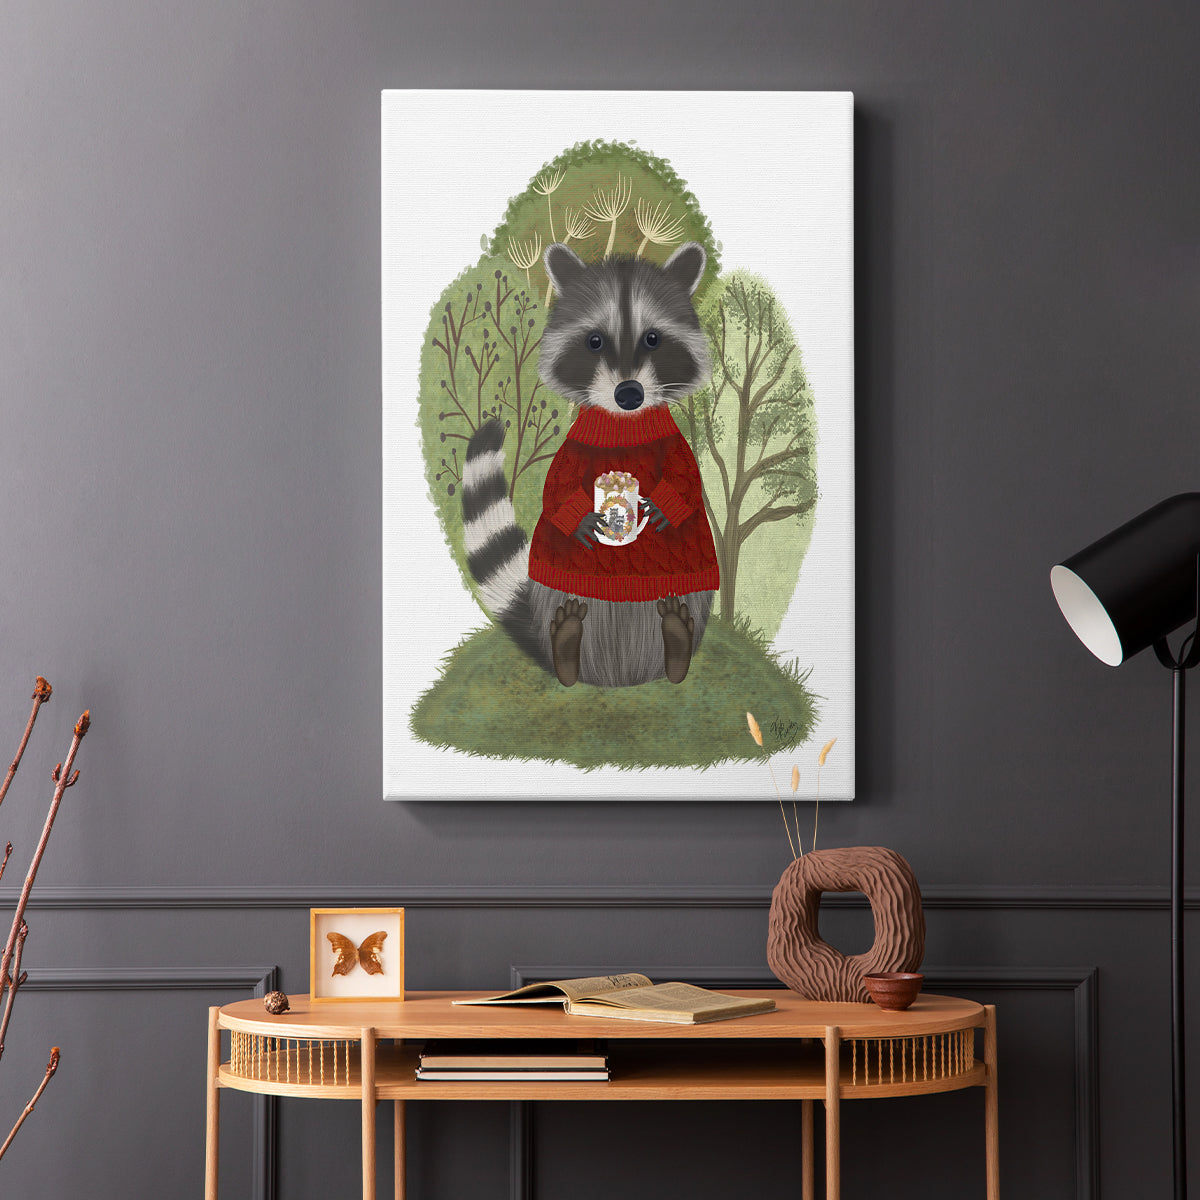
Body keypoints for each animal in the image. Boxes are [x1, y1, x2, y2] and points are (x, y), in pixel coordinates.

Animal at [462, 241, 719, 688]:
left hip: (690, 598)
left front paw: (666, 502)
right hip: (556, 597)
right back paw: (566, 650)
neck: (622, 424)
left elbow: (686, 473)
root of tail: (619, 678)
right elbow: (557, 485)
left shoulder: (673, 442)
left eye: (653, 339)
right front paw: (577, 513)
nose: (629, 393)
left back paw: (677, 648)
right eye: (594, 341)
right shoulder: (576, 445)